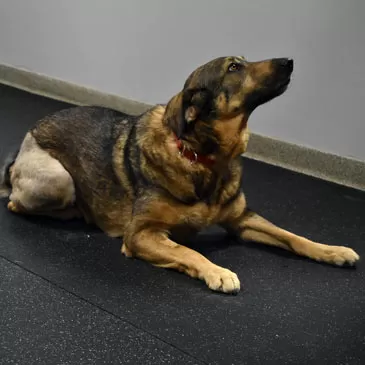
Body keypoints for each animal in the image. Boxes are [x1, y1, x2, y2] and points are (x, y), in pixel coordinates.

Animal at [0, 55, 358, 292]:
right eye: (234, 67)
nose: (289, 61)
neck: (204, 158)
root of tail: (21, 146)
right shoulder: (141, 234)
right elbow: (188, 251)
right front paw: (217, 271)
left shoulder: (242, 220)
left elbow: (292, 236)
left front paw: (333, 251)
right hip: (58, 181)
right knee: (16, 204)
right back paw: (74, 211)